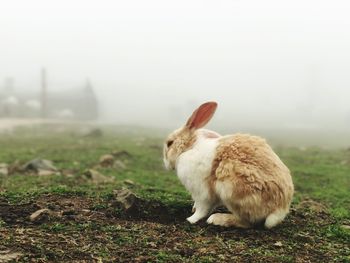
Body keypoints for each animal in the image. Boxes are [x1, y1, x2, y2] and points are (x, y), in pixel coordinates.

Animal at [163, 102, 294, 230]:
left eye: (170, 143)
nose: (166, 164)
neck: (190, 147)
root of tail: (279, 209)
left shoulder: (202, 192)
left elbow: (202, 209)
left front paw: (191, 219)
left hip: (232, 189)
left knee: (248, 222)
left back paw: (217, 219)